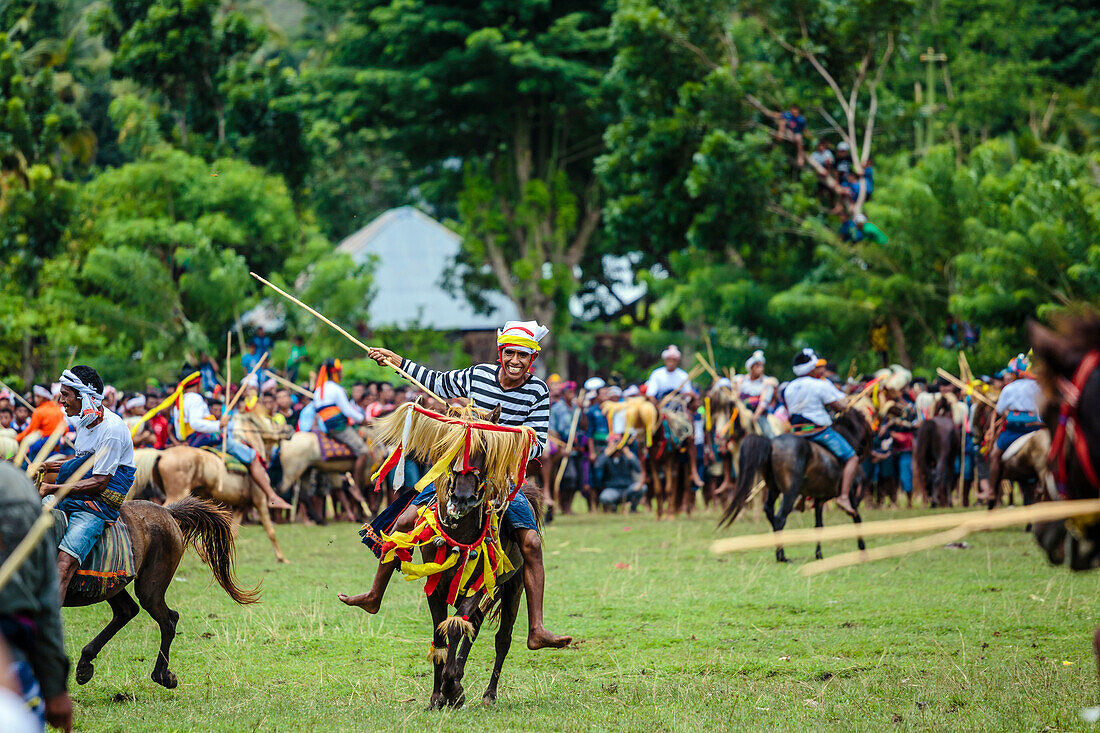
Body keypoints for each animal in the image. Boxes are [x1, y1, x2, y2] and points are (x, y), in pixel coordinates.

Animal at [64, 493, 259, 686]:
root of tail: (167, 511)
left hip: (150, 588)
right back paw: (85, 665)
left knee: (168, 620)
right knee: (127, 610)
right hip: (112, 585)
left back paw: (162, 675)